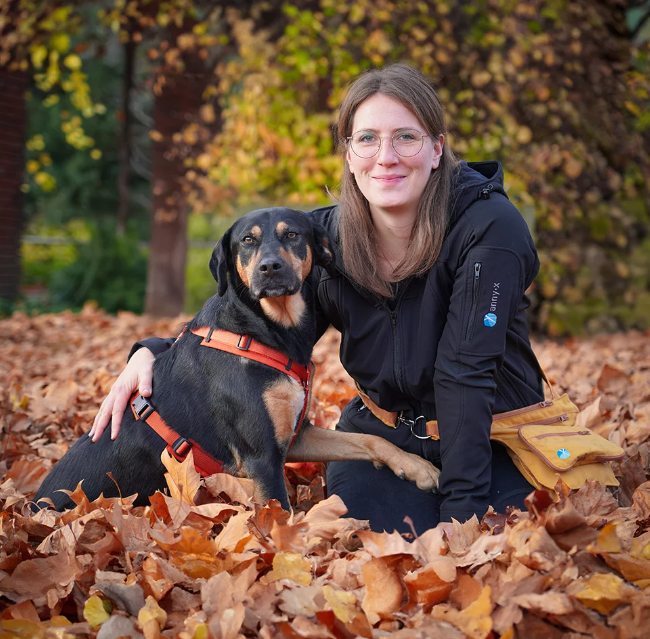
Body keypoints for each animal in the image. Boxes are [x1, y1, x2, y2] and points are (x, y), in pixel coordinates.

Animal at [35, 207, 440, 512]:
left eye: (293, 235)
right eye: (248, 240)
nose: (270, 268)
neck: (263, 332)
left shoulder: (293, 436)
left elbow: (371, 440)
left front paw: (417, 468)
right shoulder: (262, 457)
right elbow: (282, 517)